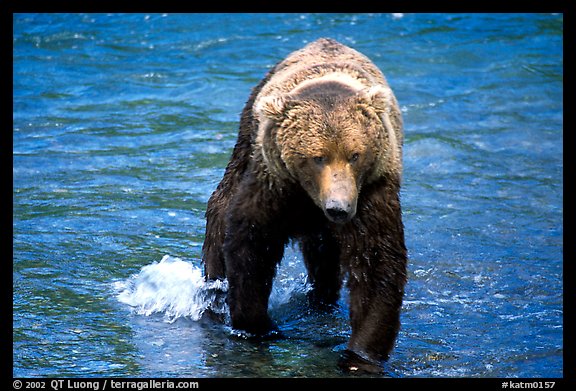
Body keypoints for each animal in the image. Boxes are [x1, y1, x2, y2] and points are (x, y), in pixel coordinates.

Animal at [200, 37, 408, 374]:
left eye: (355, 154)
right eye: (317, 156)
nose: (339, 207)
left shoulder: (371, 191)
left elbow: (376, 263)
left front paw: (361, 353)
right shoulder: (274, 184)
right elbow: (251, 245)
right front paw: (259, 326)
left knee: (323, 256)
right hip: (247, 139)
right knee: (221, 209)